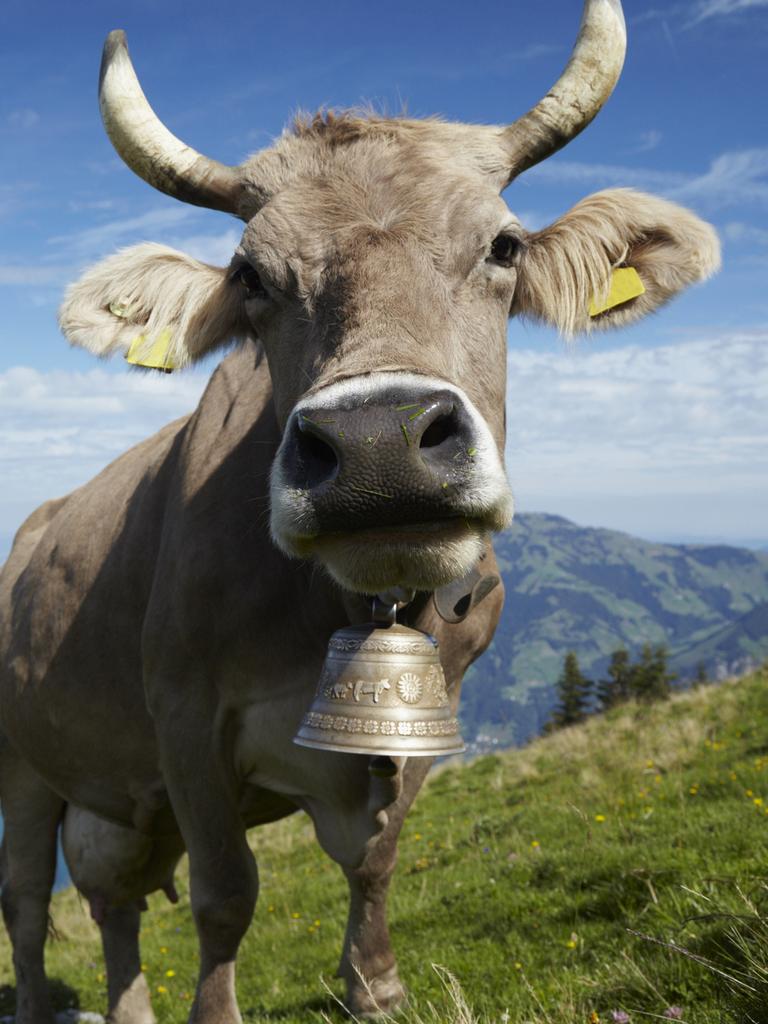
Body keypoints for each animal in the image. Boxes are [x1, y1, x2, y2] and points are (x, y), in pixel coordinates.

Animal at [0, 2, 720, 1024]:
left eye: (504, 246)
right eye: (250, 276)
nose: (378, 447)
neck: (346, 606)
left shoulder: (430, 709)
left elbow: (375, 858)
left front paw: (375, 984)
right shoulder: (181, 717)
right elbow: (227, 894)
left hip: (116, 802)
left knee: (114, 901)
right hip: (21, 766)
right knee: (29, 901)